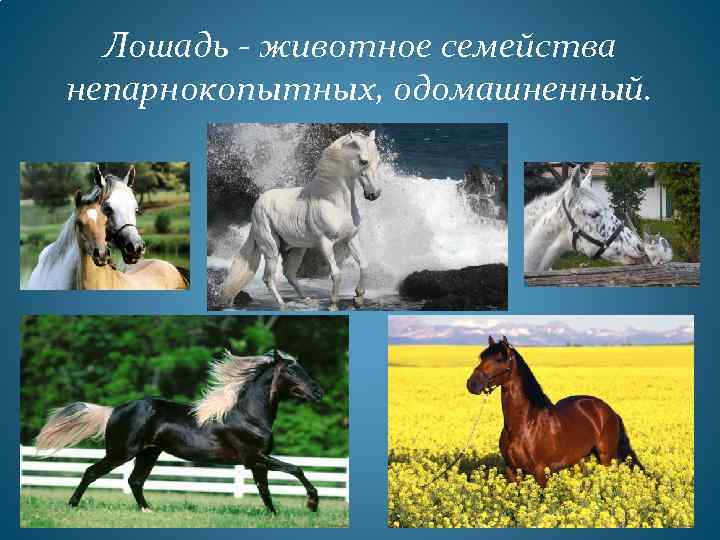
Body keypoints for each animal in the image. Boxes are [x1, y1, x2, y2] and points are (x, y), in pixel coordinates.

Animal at [35, 349, 325, 514]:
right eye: (291, 371)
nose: (319, 392)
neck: (249, 416)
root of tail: (114, 410)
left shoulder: (257, 462)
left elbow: (264, 490)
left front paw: (274, 515)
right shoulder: (255, 457)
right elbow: (296, 469)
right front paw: (312, 504)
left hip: (148, 454)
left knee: (135, 481)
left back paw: (148, 511)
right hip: (121, 452)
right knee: (91, 472)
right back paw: (72, 505)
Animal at [219, 131, 383, 311]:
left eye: (378, 160)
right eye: (363, 161)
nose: (374, 194)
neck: (333, 202)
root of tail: (258, 204)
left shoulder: (350, 239)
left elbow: (364, 265)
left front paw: (358, 298)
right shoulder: (326, 243)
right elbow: (336, 274)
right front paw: (333, 305)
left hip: (295, 249)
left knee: (289, 274)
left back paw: (308, 300)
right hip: (271, 248)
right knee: (268, 278)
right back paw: (283, 306)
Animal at [466, 336, 644, 487]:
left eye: (498, 359)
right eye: (482, 358)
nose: (472, 384)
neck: (524, 424)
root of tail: (608, 409)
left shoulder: (540, 471)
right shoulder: (511, 470)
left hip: (606, 457)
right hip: (580, 459)